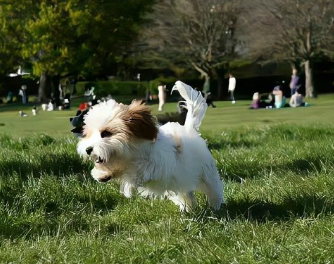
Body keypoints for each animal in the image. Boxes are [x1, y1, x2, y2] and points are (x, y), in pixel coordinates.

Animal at [75, 81, 222, 211]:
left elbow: (138, 172)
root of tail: (189, 129)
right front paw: (101, 174)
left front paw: (128, 186)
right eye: (88, 134)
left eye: (105, 133)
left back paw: (215, 205)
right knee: (186, 193)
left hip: (206, 172)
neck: (132, 154)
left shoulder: (156, 164)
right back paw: (188, 207)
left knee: (213, 187)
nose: (88, 149)